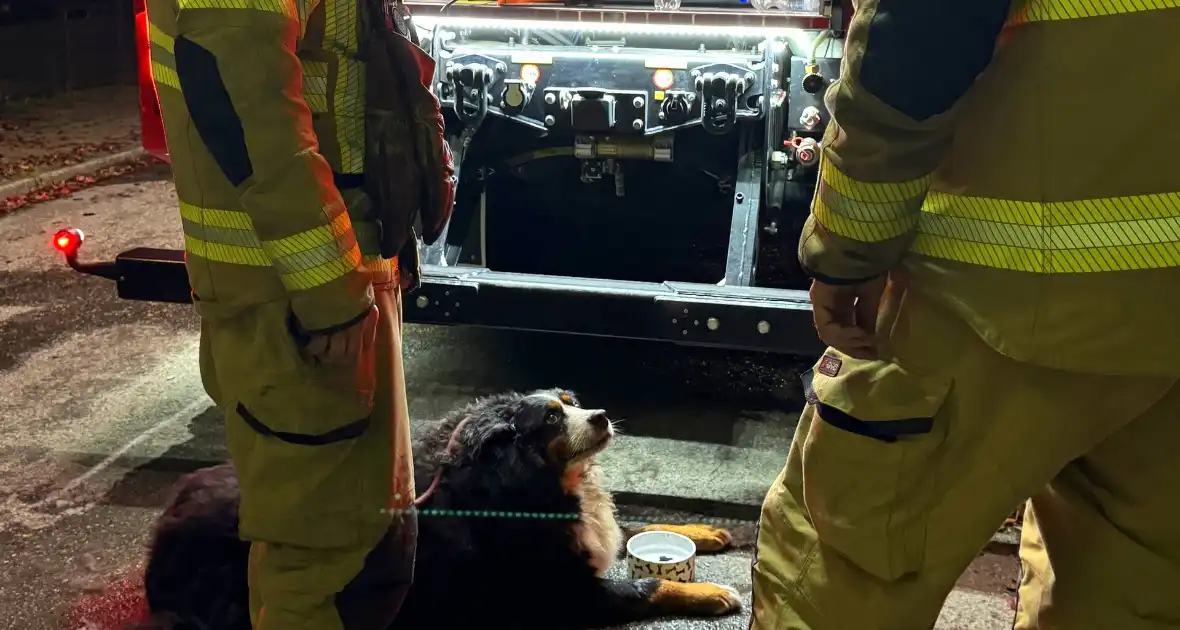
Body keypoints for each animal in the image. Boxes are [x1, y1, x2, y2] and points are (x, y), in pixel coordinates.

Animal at [138, 389, 736, 630]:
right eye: (548, 419)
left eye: (572, 401)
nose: (603, 415)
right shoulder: (565, 592)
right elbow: (649, 586)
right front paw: (711, 592)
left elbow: (640, 524)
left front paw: (704, 530)